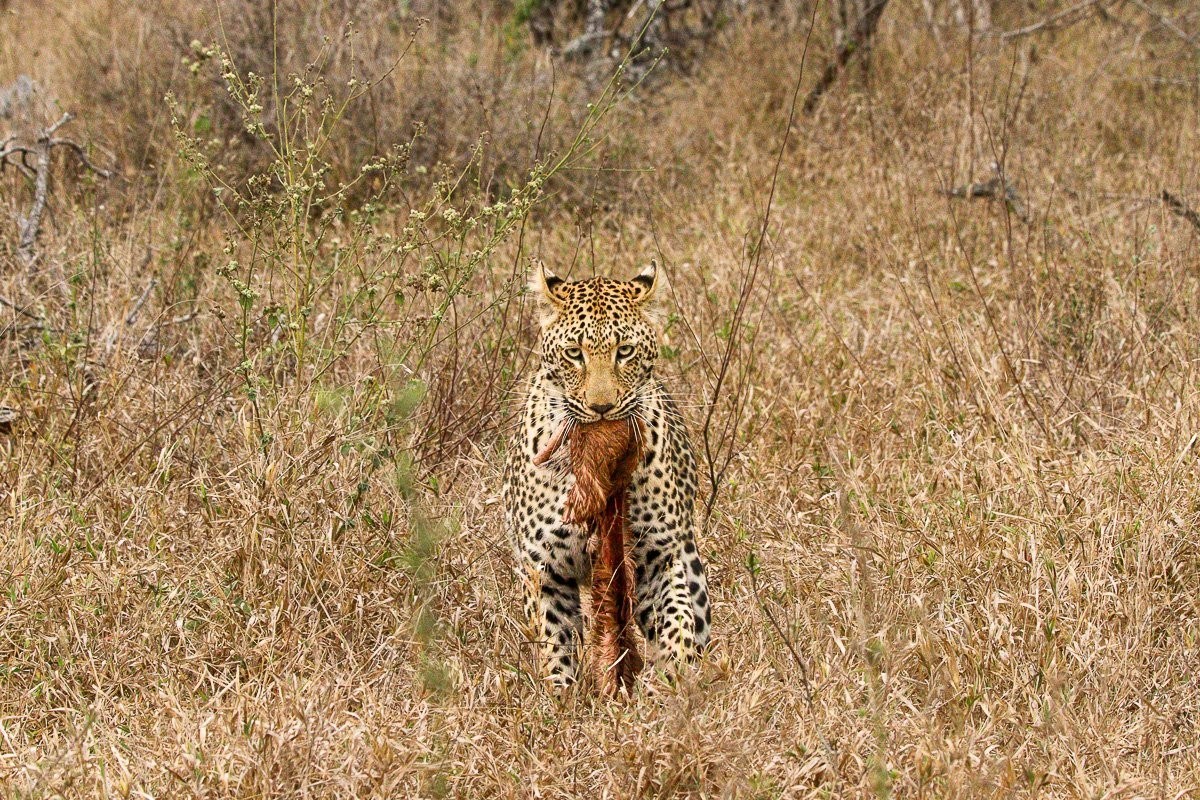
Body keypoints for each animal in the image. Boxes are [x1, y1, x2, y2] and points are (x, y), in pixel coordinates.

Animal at [502, 259, 711, 686]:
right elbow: (555, 647)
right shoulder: (544, 570)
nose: (601, 408)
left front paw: (673, 686)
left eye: (624, 352)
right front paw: (561, 697)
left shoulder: (658, 560)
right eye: (574, 354)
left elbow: (677, 626)